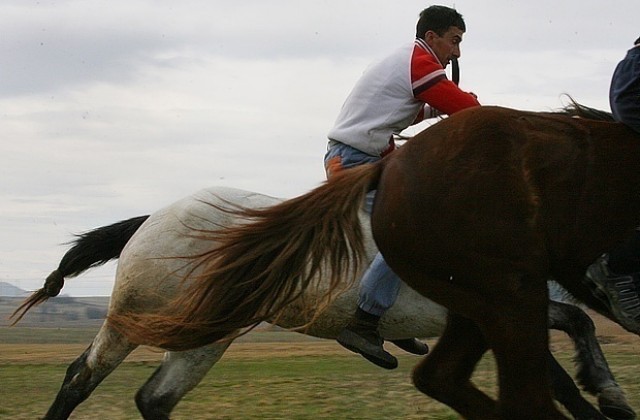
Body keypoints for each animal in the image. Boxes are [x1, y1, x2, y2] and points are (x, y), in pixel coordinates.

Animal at [12, 185, 636, 420]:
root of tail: (152, 219)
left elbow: (565, 354)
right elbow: (565, 365)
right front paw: (608, 400)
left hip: (201, 338)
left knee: (150, 397)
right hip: (139, 320)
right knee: (80, 378)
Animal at [110, 106, 640, 420]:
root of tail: (156, 217)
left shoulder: (501, 309)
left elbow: (569, 341)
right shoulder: (506, 305)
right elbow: (565, 358)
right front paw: (607, 400)